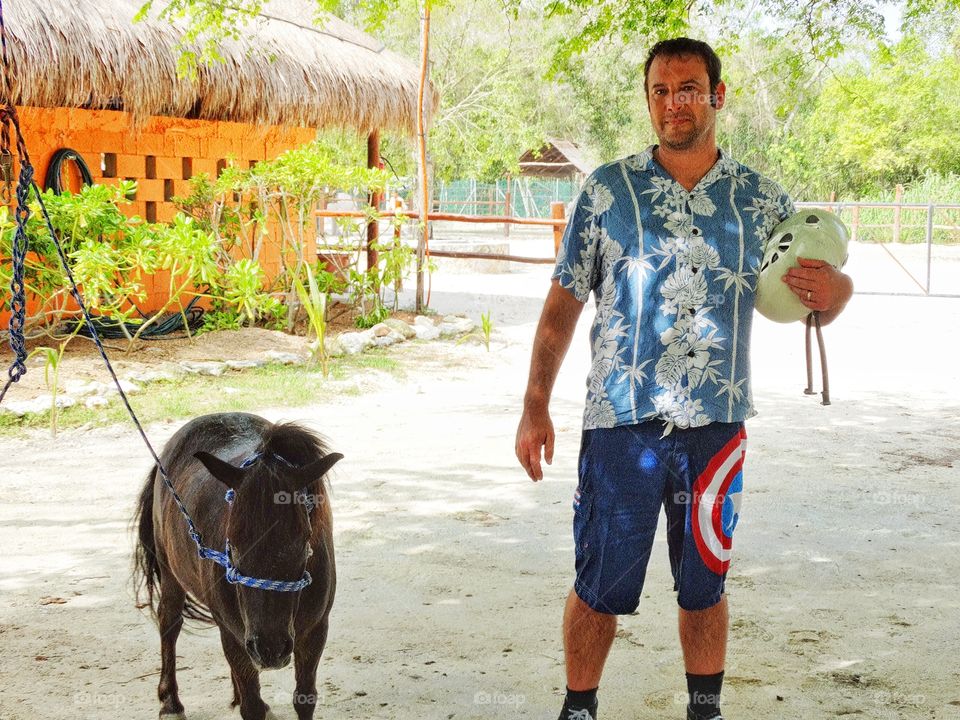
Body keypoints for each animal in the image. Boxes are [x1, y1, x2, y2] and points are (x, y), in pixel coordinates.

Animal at [133, 410, 344, 720]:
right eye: (231, 543)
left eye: (305, 541)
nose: (270, 649)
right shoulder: (233, 634)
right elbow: (251, 706)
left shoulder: (315, 631)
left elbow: (305, 698)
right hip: (170, 571)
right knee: (169, 623)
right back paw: (170, 703)